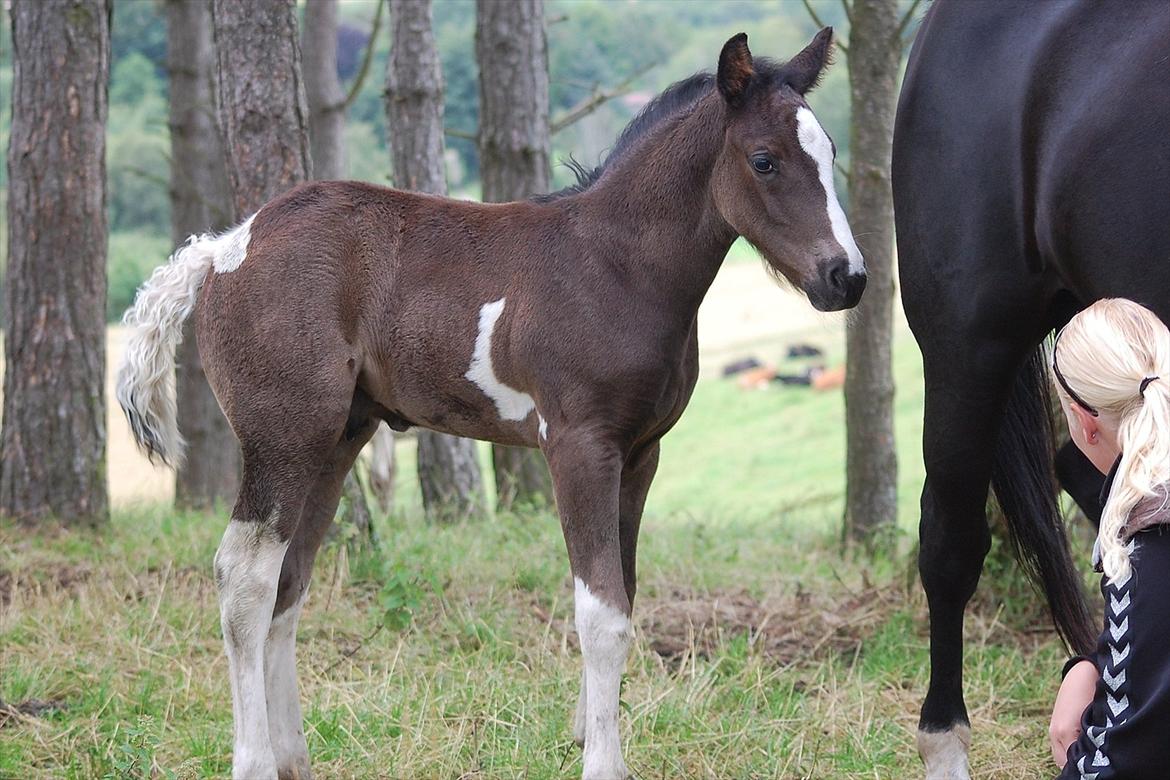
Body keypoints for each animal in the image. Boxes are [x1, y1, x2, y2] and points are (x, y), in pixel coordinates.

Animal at [118, 30, 865, 780]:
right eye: (764, 160)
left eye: (832, 152)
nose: (847, 277)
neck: (615, 268)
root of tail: (226, 247)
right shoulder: (578, 445)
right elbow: (601, 614)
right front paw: (601, 761)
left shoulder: (640, 453)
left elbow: (622, 594)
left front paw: (585, 734)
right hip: (283, 436)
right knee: (243, 579)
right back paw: (254, 759)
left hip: (335, 440)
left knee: (287, 583)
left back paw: (294, 757)